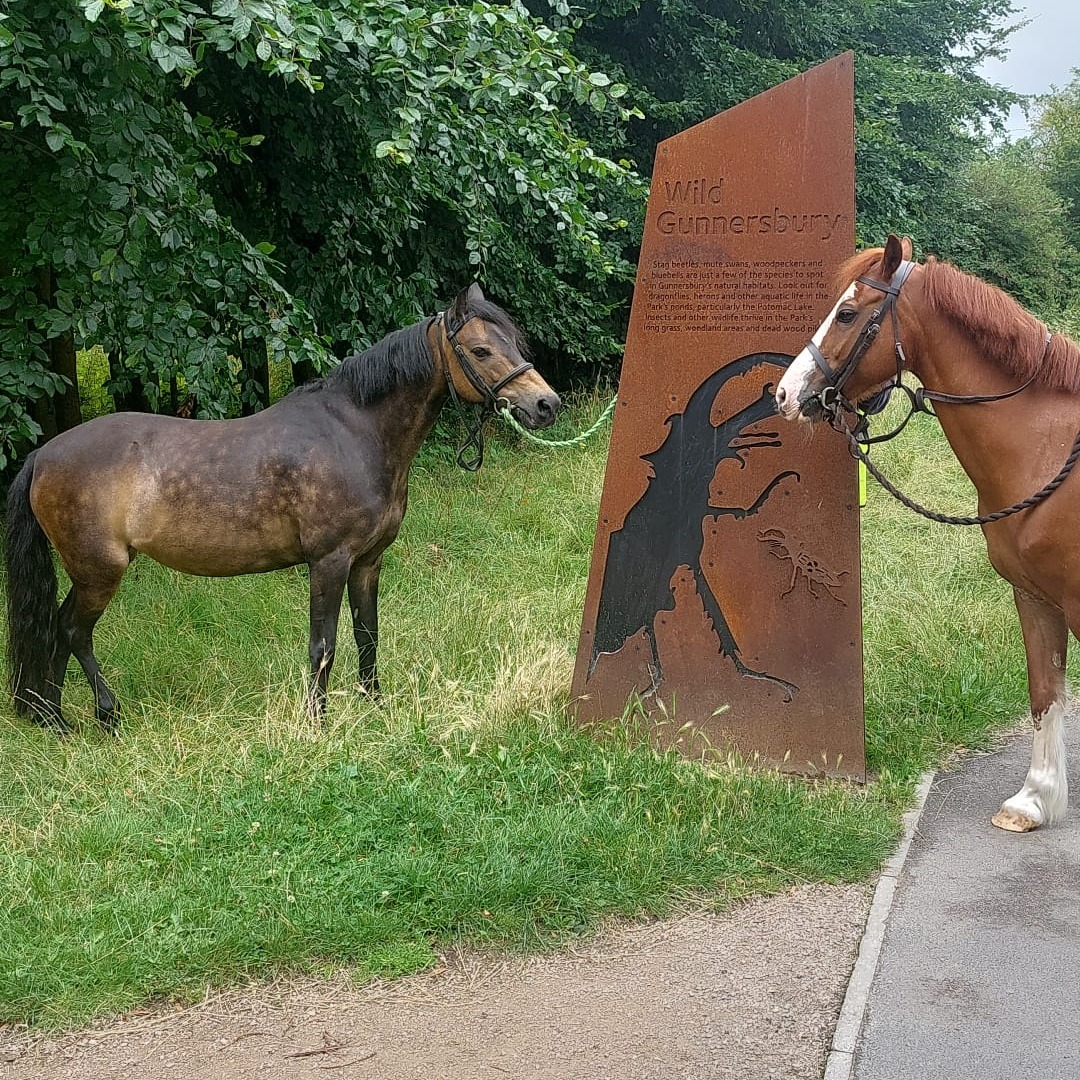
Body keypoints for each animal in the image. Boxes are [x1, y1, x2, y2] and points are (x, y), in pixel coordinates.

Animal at [5, 284, 560, 733]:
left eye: (515, 343)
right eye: (481, 349)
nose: (546, 405)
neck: (354, 433)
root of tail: (42, 455)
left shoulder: (368, 562)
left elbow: (368, 636)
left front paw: (375, 707)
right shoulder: (329, 562)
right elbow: (324, 646)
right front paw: (318, 724)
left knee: (56, 632)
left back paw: (55, 720)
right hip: (100, 570)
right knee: (72, 631)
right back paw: (104, 715)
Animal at [775, 233, 1080, 833]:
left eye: (848, 313)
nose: (784, 393)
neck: (1049, 449)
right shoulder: (1035, 598)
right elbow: (1045, 694)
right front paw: (1032, 800)